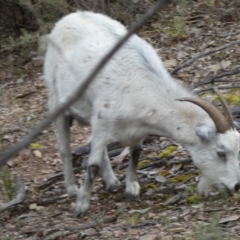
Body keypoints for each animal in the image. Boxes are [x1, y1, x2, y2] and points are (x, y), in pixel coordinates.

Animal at [42, 10, 240, 217]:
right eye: (221, 153)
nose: (236, 186)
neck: (140, 86)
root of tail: (69, 17)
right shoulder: (102, 120)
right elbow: (93, 165)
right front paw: (81, 205)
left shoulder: (136, 127)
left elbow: (136, 153)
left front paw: (132, 189)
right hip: (56, 100)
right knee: (65, 149)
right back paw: (72, 189)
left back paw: (112, 183)